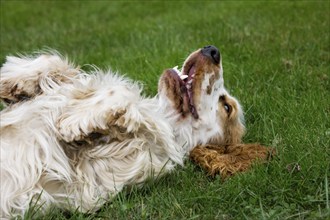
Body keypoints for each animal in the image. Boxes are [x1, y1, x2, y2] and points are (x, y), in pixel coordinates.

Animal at [0, 45, 245, 217]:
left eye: (227, 107)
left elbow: (123, 97)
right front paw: (14, 81)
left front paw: (73, 120)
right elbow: (58, 64)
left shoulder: (97, 173)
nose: (213, 50)